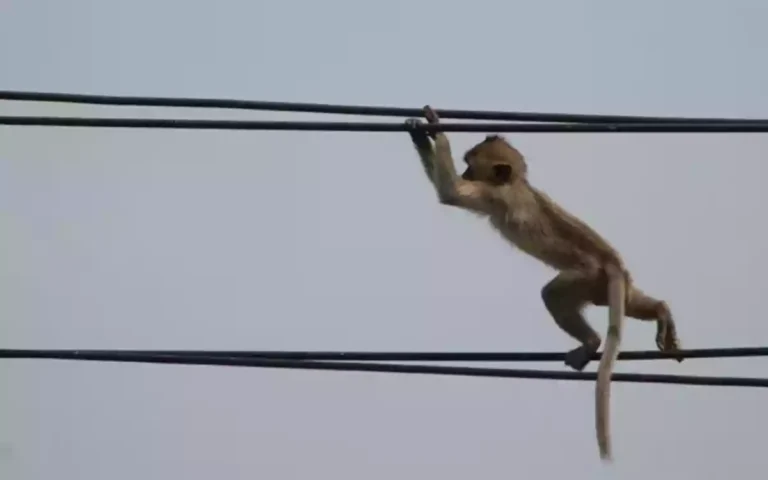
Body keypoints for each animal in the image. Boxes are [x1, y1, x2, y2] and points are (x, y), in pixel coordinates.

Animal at [404, 106, 682, 462]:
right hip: (603, 285)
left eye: (470, 165)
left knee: (552, 294)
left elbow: (450, 192)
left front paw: (430, 128)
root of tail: (613, 263)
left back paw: (592, 341)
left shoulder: (492, 195)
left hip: (586, 274)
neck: (517, 183)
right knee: (630, 302)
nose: (467, 173)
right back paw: (661, 311)